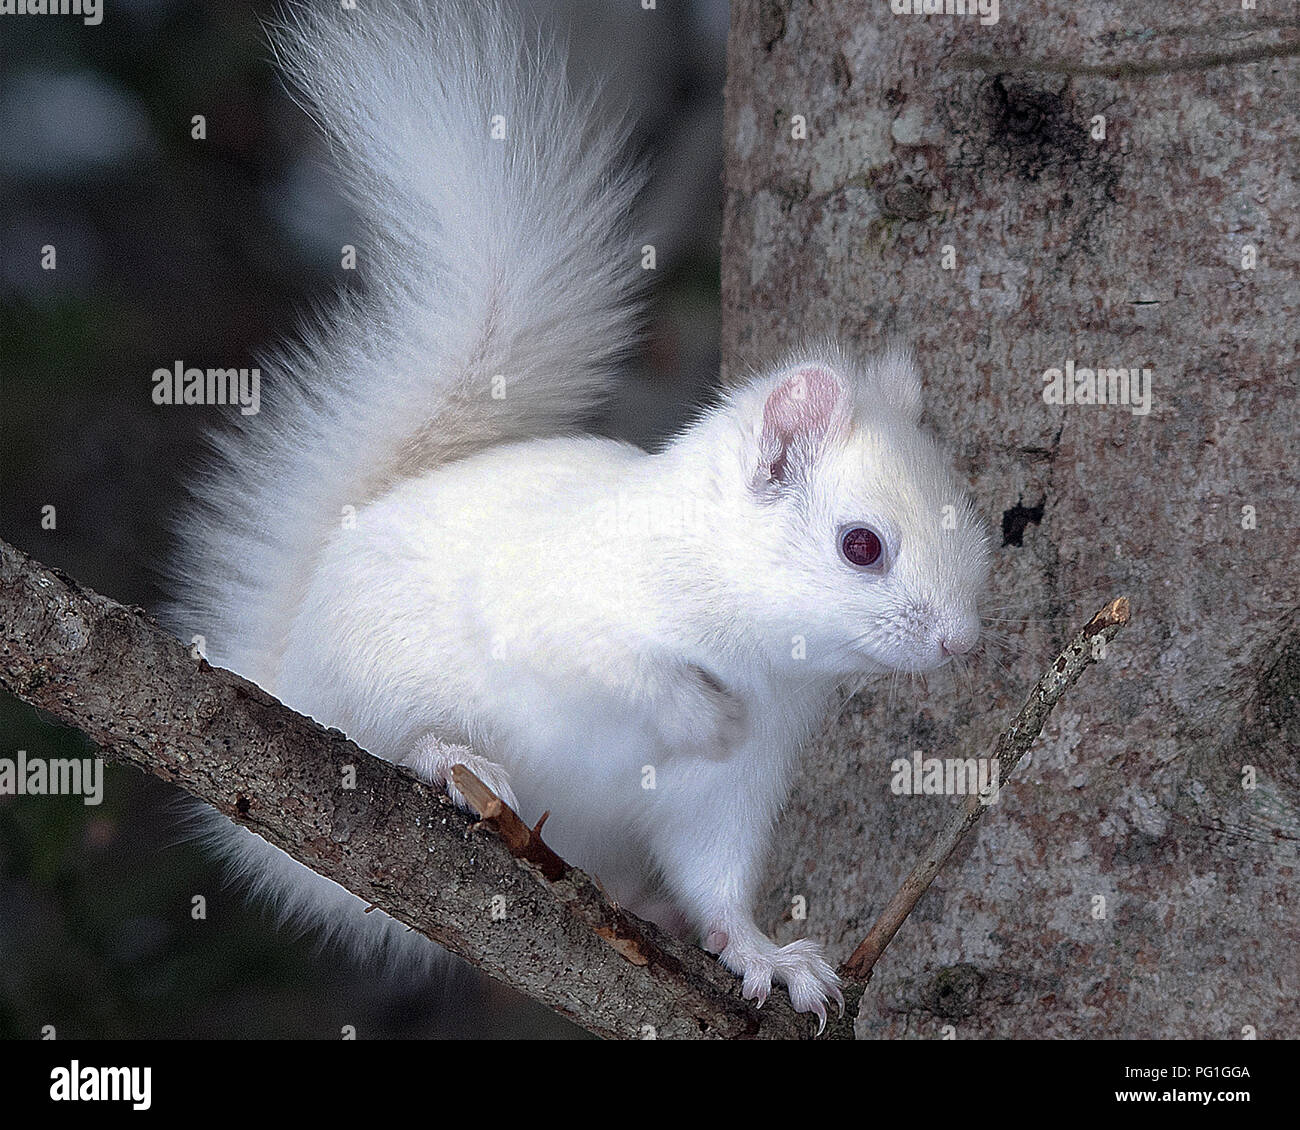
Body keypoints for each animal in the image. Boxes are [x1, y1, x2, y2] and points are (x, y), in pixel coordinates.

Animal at [167, 0, 987, 1029]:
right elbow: (614, 668)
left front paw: (767, 954)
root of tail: (287, 668)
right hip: (368, 682)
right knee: (385, 735)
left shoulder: (730, 793)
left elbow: (720, 882)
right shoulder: (561, 609)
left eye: (974, 524)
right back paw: (451, 758)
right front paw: (702, 711)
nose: (961, 643)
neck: (757, 641)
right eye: (862, 545)